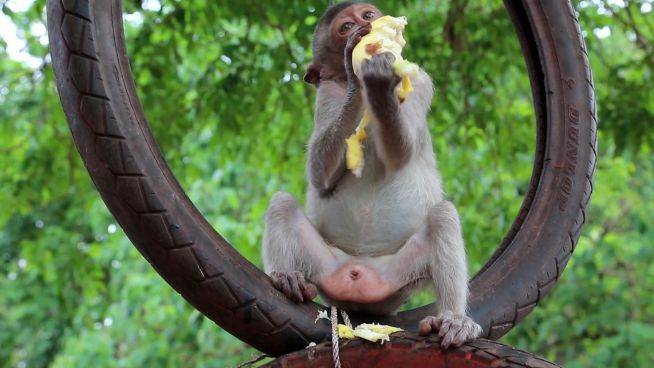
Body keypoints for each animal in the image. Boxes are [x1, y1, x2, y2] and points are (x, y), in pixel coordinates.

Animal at [262, 2, 482, 348]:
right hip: (326, 267)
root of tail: (360, 276)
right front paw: (359, 78)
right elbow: (319, 175)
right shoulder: (326, 92)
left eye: (367, 15)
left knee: (443, 217)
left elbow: (400, 154)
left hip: (397, 278)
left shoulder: (419, 79)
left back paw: (453, 320)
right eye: (344, 27)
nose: (362, 28)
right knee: (282, 204)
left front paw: (378, 80)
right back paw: (287, 279)